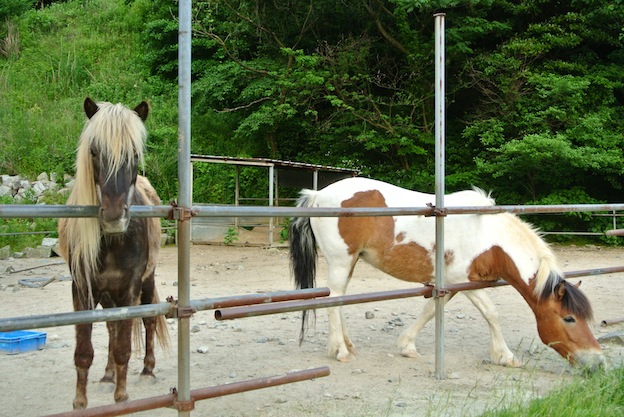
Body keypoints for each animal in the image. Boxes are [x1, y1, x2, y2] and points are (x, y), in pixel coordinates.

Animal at [58, 96, 168, 408]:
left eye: (134, 154)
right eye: (94, 152)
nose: (114, 217)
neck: (113, 242)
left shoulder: (130, 288)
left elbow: (123, 346)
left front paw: (122, 396)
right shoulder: (82, 289)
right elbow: (84, 349)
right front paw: (80, 401)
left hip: (147, 281)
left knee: (148, 320)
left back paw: (147, 371)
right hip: (107, 294)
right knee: (109, 326)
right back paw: (107, 376)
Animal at [290, 177, 608, 368]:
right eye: (569, 318)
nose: (597, 362)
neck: (488, 236)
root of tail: (318, 194)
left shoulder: (451, 285)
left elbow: (432, 310)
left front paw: (407, 346)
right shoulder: (462, 281)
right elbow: (491, 313)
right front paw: (505, 356)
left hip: (351, 262)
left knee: (340, 300)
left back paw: (347, 345)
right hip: (341, 261)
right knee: (334, 300)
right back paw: (340, 351)